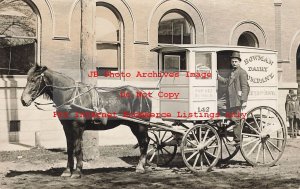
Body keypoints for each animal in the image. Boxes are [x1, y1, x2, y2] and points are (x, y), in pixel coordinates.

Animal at [20, 65, 152, 177]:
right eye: (27, 79)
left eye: (34, 80)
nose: (23, 100)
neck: (71, 96)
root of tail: (143, 94)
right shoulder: (67, 128)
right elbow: (70, 148)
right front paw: (67, 171)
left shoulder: (77, 127)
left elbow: (78, 148)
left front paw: (77, 171)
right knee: (144, 142)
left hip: (139, 125)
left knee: (144, 142)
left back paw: (140, 167)